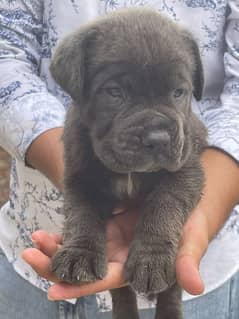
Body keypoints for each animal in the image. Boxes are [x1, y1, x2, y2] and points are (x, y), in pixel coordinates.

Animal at [50, 8, 207, 319]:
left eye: (178, 92)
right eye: (114, 92)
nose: (158, 138)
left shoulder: (186, 169)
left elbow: (164, 204)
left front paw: (151, 259)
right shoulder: (80, 178)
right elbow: (82, 214)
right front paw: (79, 254)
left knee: (172, 289)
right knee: (120, 290)